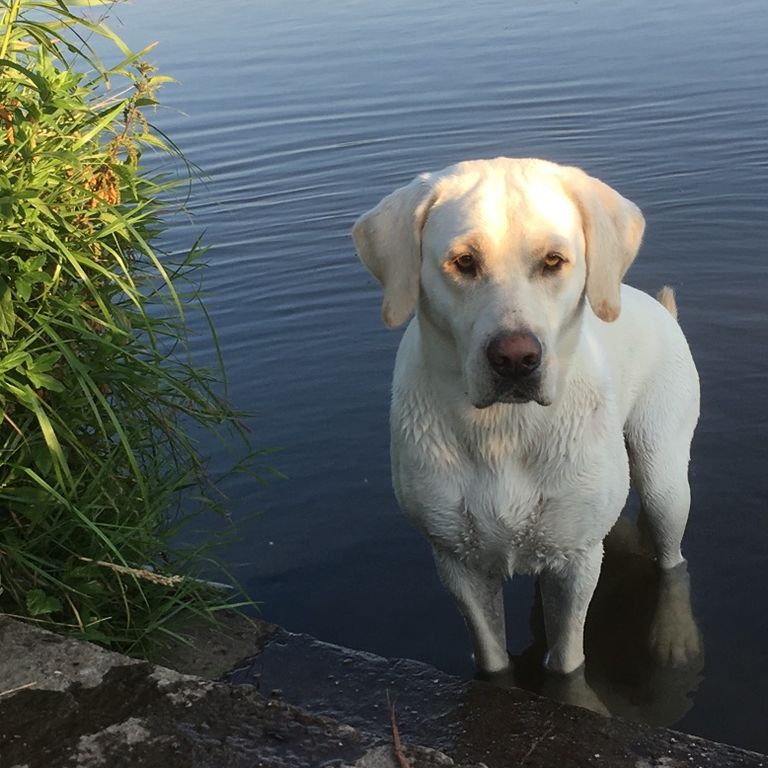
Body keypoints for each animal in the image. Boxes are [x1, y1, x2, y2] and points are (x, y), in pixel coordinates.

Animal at [354, 158, 704, 680]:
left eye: (554, 261)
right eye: (463, 261)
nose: (516, 359)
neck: (504, 429)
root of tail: (660, 308)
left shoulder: (576, 560)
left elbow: (566, 661)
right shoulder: (457, 562)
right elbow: (492, 657)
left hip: (663, 472)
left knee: (671, 559)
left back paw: (674, 636)